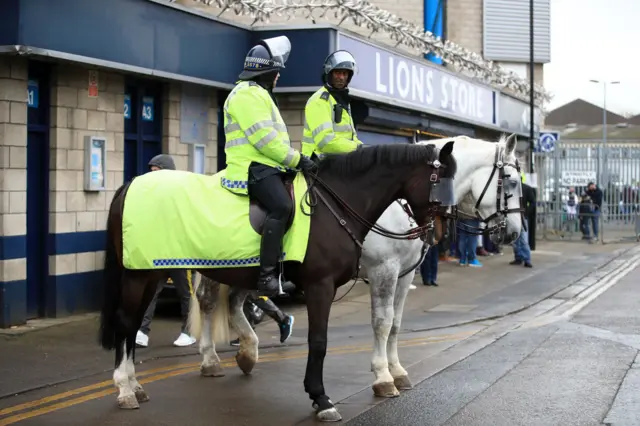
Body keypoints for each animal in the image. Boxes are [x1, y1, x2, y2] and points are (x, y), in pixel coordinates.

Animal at [97, 141, 456, 422]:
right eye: (440, 180)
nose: (439, 232)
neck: (336, 205)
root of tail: (131, 185)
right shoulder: (324, 285)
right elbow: (320, 340)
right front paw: (322, 398)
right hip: (139, 274)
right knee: (128, 321)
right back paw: (125, 388)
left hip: (155, 271)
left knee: (148, 320)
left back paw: (142, 383)